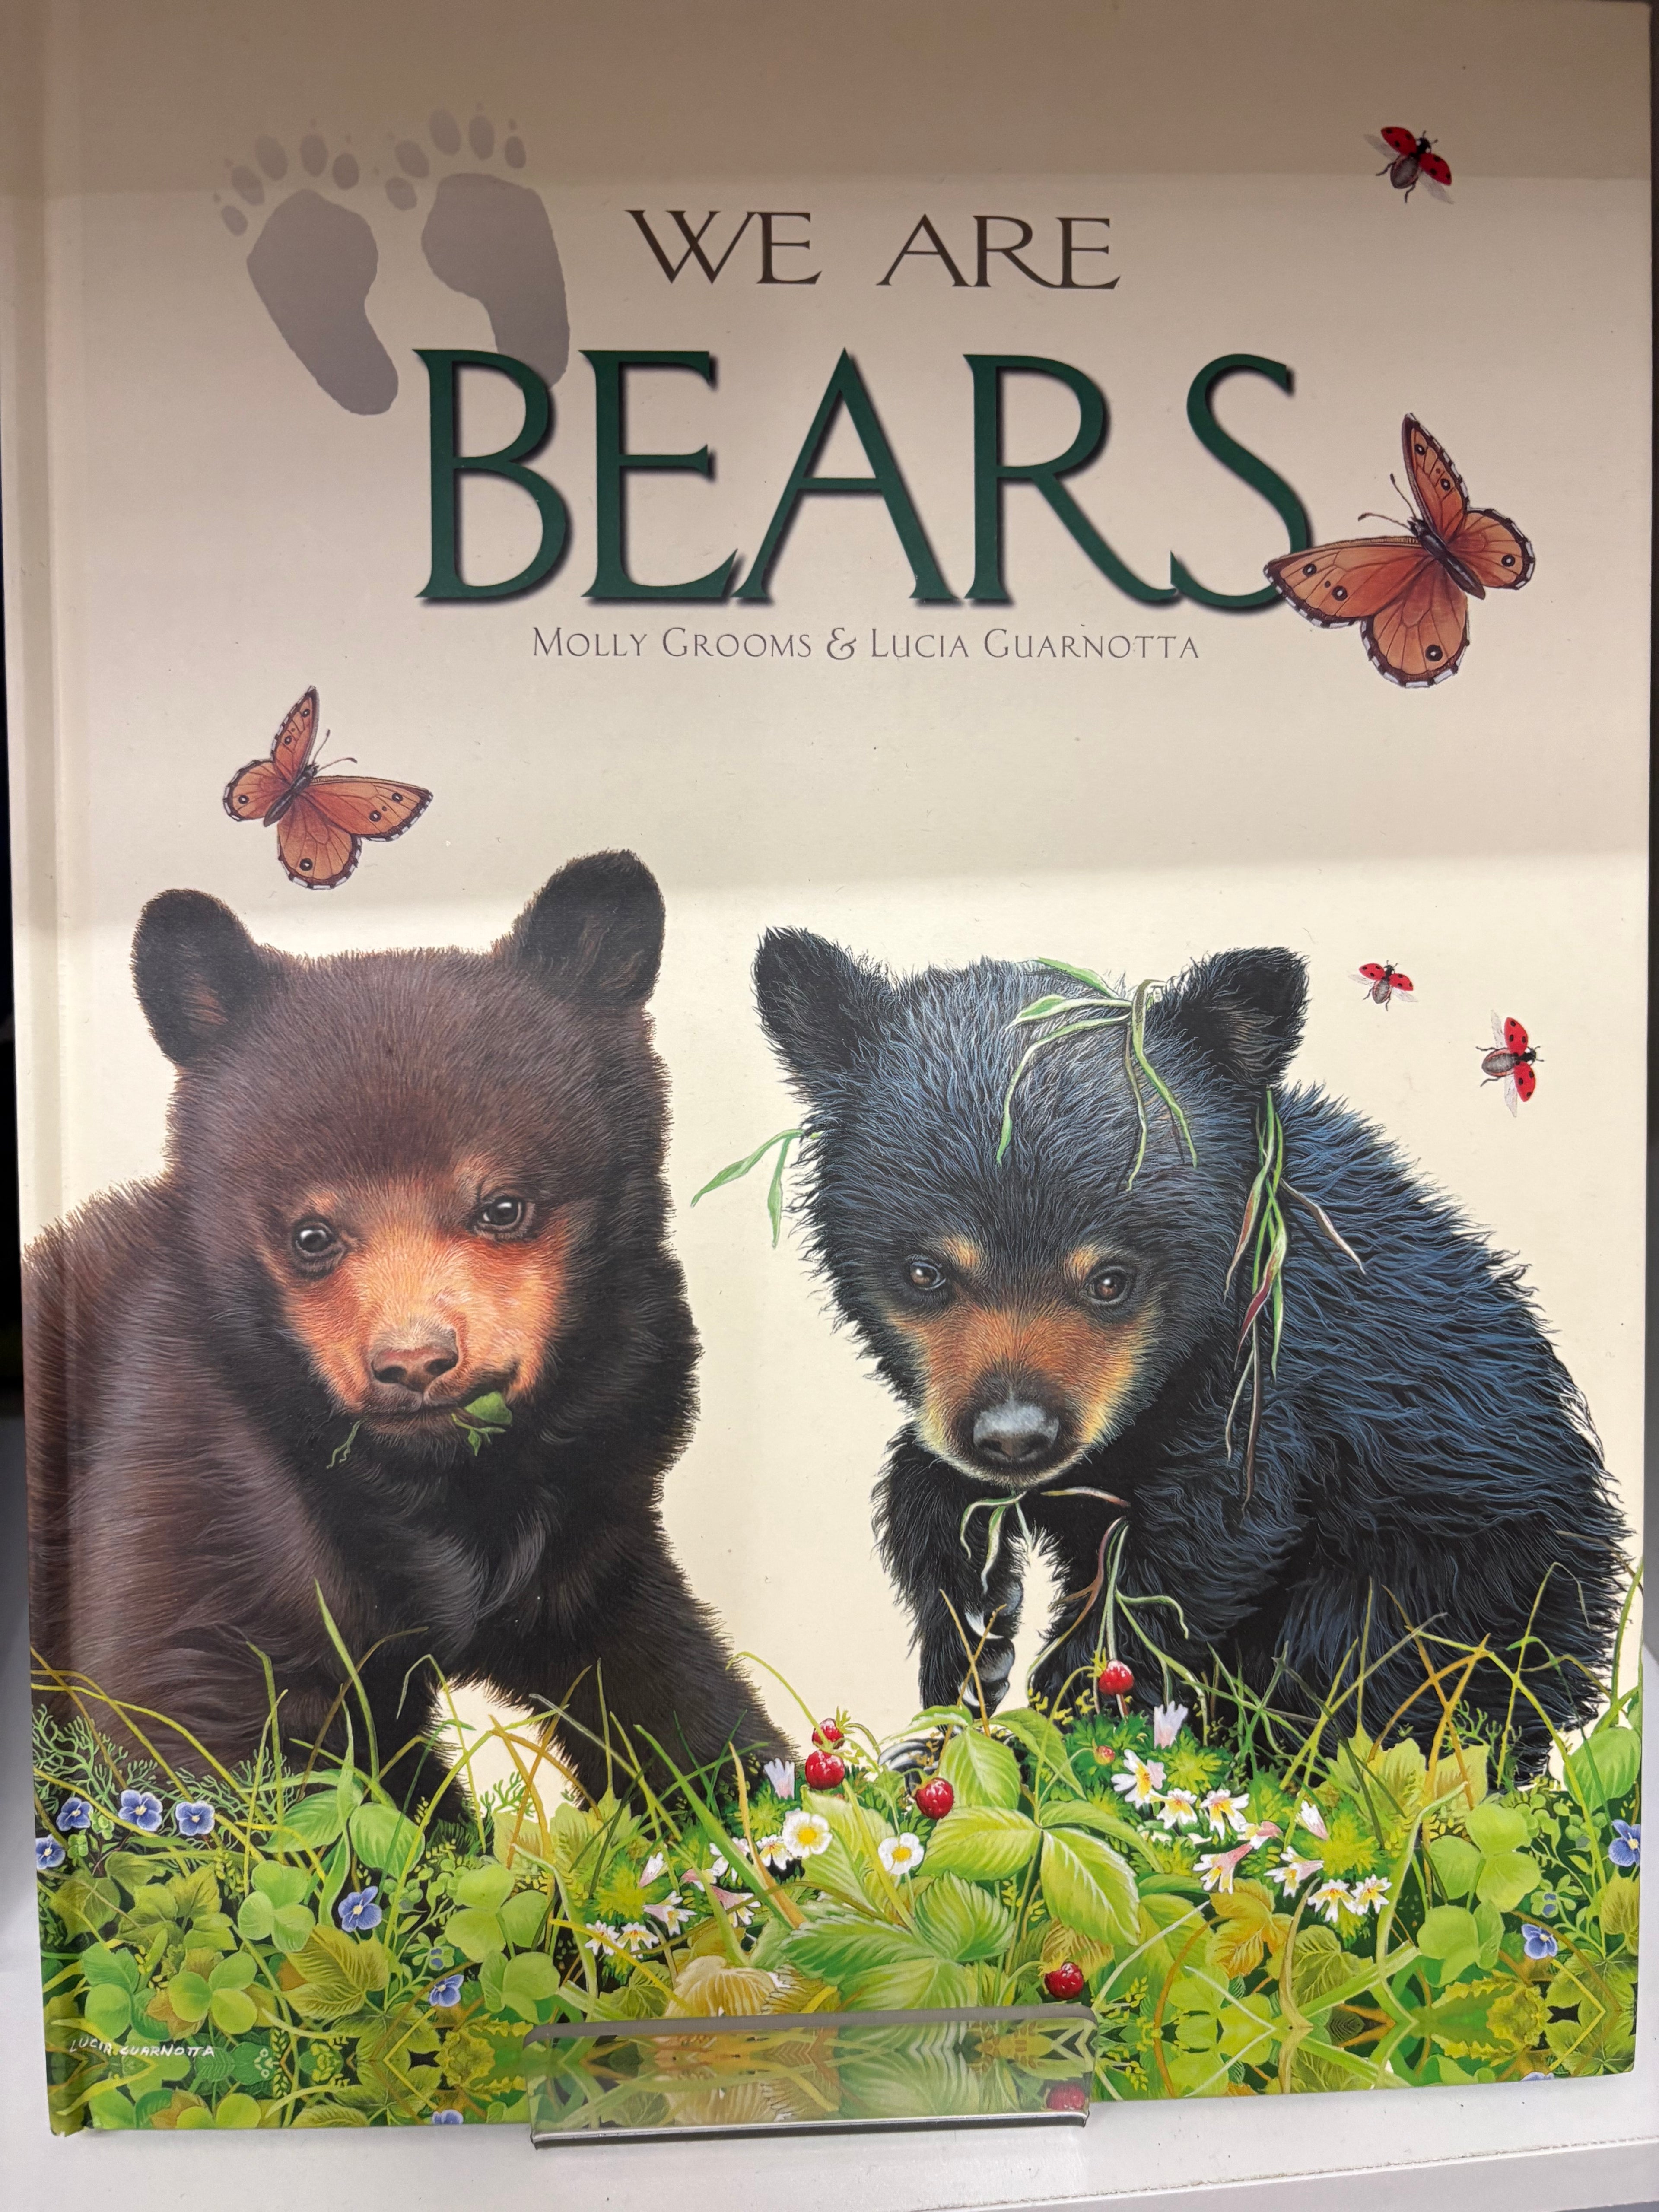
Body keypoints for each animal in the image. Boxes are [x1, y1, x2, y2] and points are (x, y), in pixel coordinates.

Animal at [26, 851, 783, 1810]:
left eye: (503, 1206)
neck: (431, 1484)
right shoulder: (186, 1483)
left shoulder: (593, 1514)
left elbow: (666, 1688)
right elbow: (189, 1722)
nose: (415, 1363)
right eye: (312, 1236)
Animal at [753, 931, 1626, 1761]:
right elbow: (929, 1478)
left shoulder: (1271, 1383)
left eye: (1112, 1280)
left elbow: (1204, 1549)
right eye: (925, 1272)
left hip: (1461, 1586)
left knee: (1370, 1680)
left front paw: (1054, 1722)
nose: (1015, 1438)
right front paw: (973, 1629)